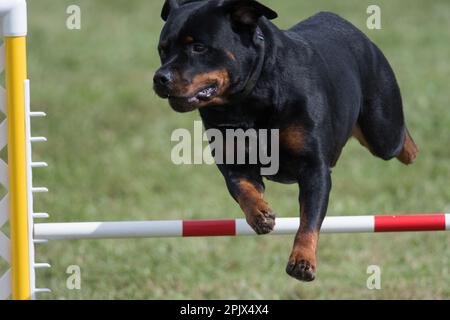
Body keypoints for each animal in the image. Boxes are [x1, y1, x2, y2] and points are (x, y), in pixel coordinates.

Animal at [154, 0, 418, 280]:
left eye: (199, 47)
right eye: (162, 49)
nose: (160, 77)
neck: (249, 97)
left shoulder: (314, 169)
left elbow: (309, 219)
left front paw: (302, 260)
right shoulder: (235, 164)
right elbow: (243, 190)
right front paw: (260, 213)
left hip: (383, 130)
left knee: (398, 140)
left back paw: (409, 150)